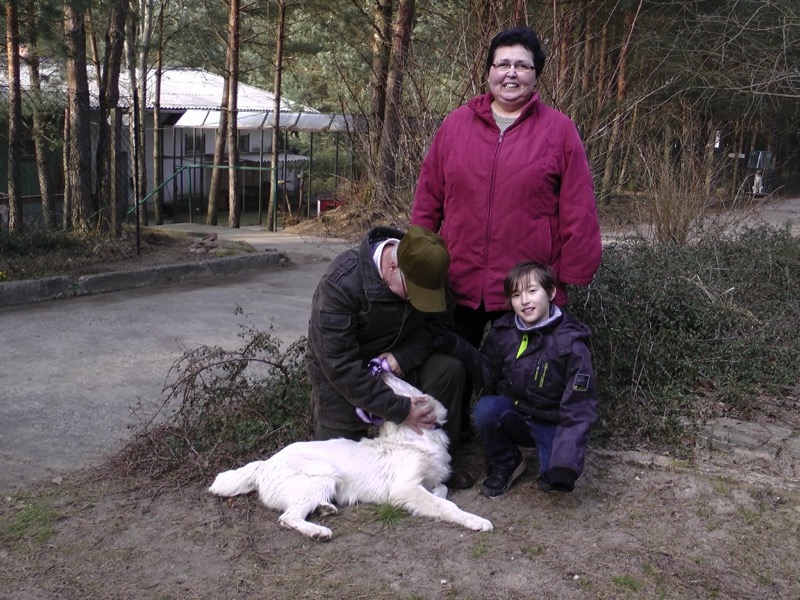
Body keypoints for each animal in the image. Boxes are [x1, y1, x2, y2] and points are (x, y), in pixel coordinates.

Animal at [208, 372, 493, 541]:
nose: (383, 369)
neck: (412, 438)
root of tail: (264, 463)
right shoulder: (404, 488)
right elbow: (447, 506)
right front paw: (475, 520)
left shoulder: (431, 480)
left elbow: (441, 490)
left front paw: (436, 495)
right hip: (323, 475)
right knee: (287, 518)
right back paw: (318, 531)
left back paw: (324, 508)